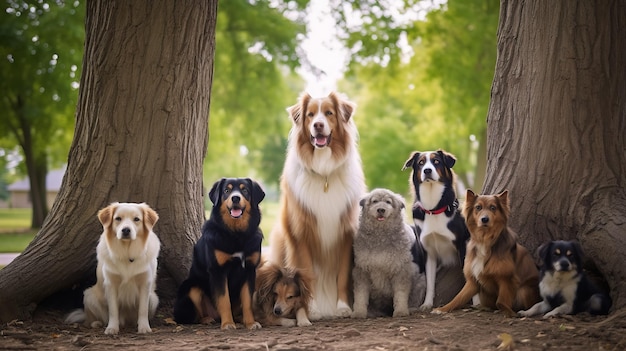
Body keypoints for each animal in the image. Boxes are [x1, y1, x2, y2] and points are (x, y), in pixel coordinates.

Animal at [63, 202, 160, 334]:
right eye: (118, 218)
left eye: (136, 219)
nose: (126, 230)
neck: (126, 253)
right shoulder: (111, 284)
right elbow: (113, 310)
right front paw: (112, 328)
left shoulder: (145, 283)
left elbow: (143, 310)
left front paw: (144, 327)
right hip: (89, 295)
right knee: (91, 319)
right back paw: (97, 323)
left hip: (154, 299)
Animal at [172, 179, 264, 330]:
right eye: (227, 190)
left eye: (245, 190)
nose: (235, 198)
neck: (236, 234)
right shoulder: (218, 271)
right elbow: (224, 300)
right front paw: (227, 324)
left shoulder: (249, 270)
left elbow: (247, 302)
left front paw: (250, 323)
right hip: (192, 288)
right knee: (191, 317)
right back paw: (206, 319)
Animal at [268, 92, 366, 320]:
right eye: (310, 115)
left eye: (329, 113)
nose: (318, 125)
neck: (324, 173)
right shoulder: (300, 234)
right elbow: (307, 275)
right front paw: (312, 310)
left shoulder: (346, 234)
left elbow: (342, 275)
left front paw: (343, 308)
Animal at [352, 190, 424, 320]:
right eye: (374, 201)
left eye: (388, 202)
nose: (381, 209)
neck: (381, 237)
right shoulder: (361, 271)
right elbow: (360, 295)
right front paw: (359, 312)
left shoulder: (401, 271)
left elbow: (400, 294)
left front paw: (401, 311)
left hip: (420, 281)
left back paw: (411, 309)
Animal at [400, 150, 468, 310]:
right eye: (421, 163)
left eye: (436, 161)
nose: (427, 170)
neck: (434, 209)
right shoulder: (428, 252)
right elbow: (430, 283)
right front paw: (427, 304)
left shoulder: (462, 245)